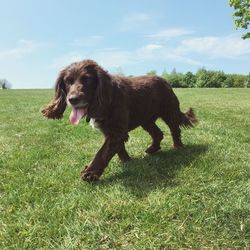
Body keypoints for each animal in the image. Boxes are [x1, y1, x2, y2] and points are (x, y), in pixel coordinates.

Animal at [41, 60, 197, 182]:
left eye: (88, 79)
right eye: (68, 81)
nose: (73, 99)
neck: (105, 97)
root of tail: (166, 81)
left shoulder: (116, 130)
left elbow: (102, 152)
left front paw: (90, 173)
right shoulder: (111, 131)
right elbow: (118, 147)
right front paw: (126, 160)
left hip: (169, 111)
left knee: (175, 129)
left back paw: (178, 147)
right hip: (145, 118)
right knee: (157, 133)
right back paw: (153, 149)